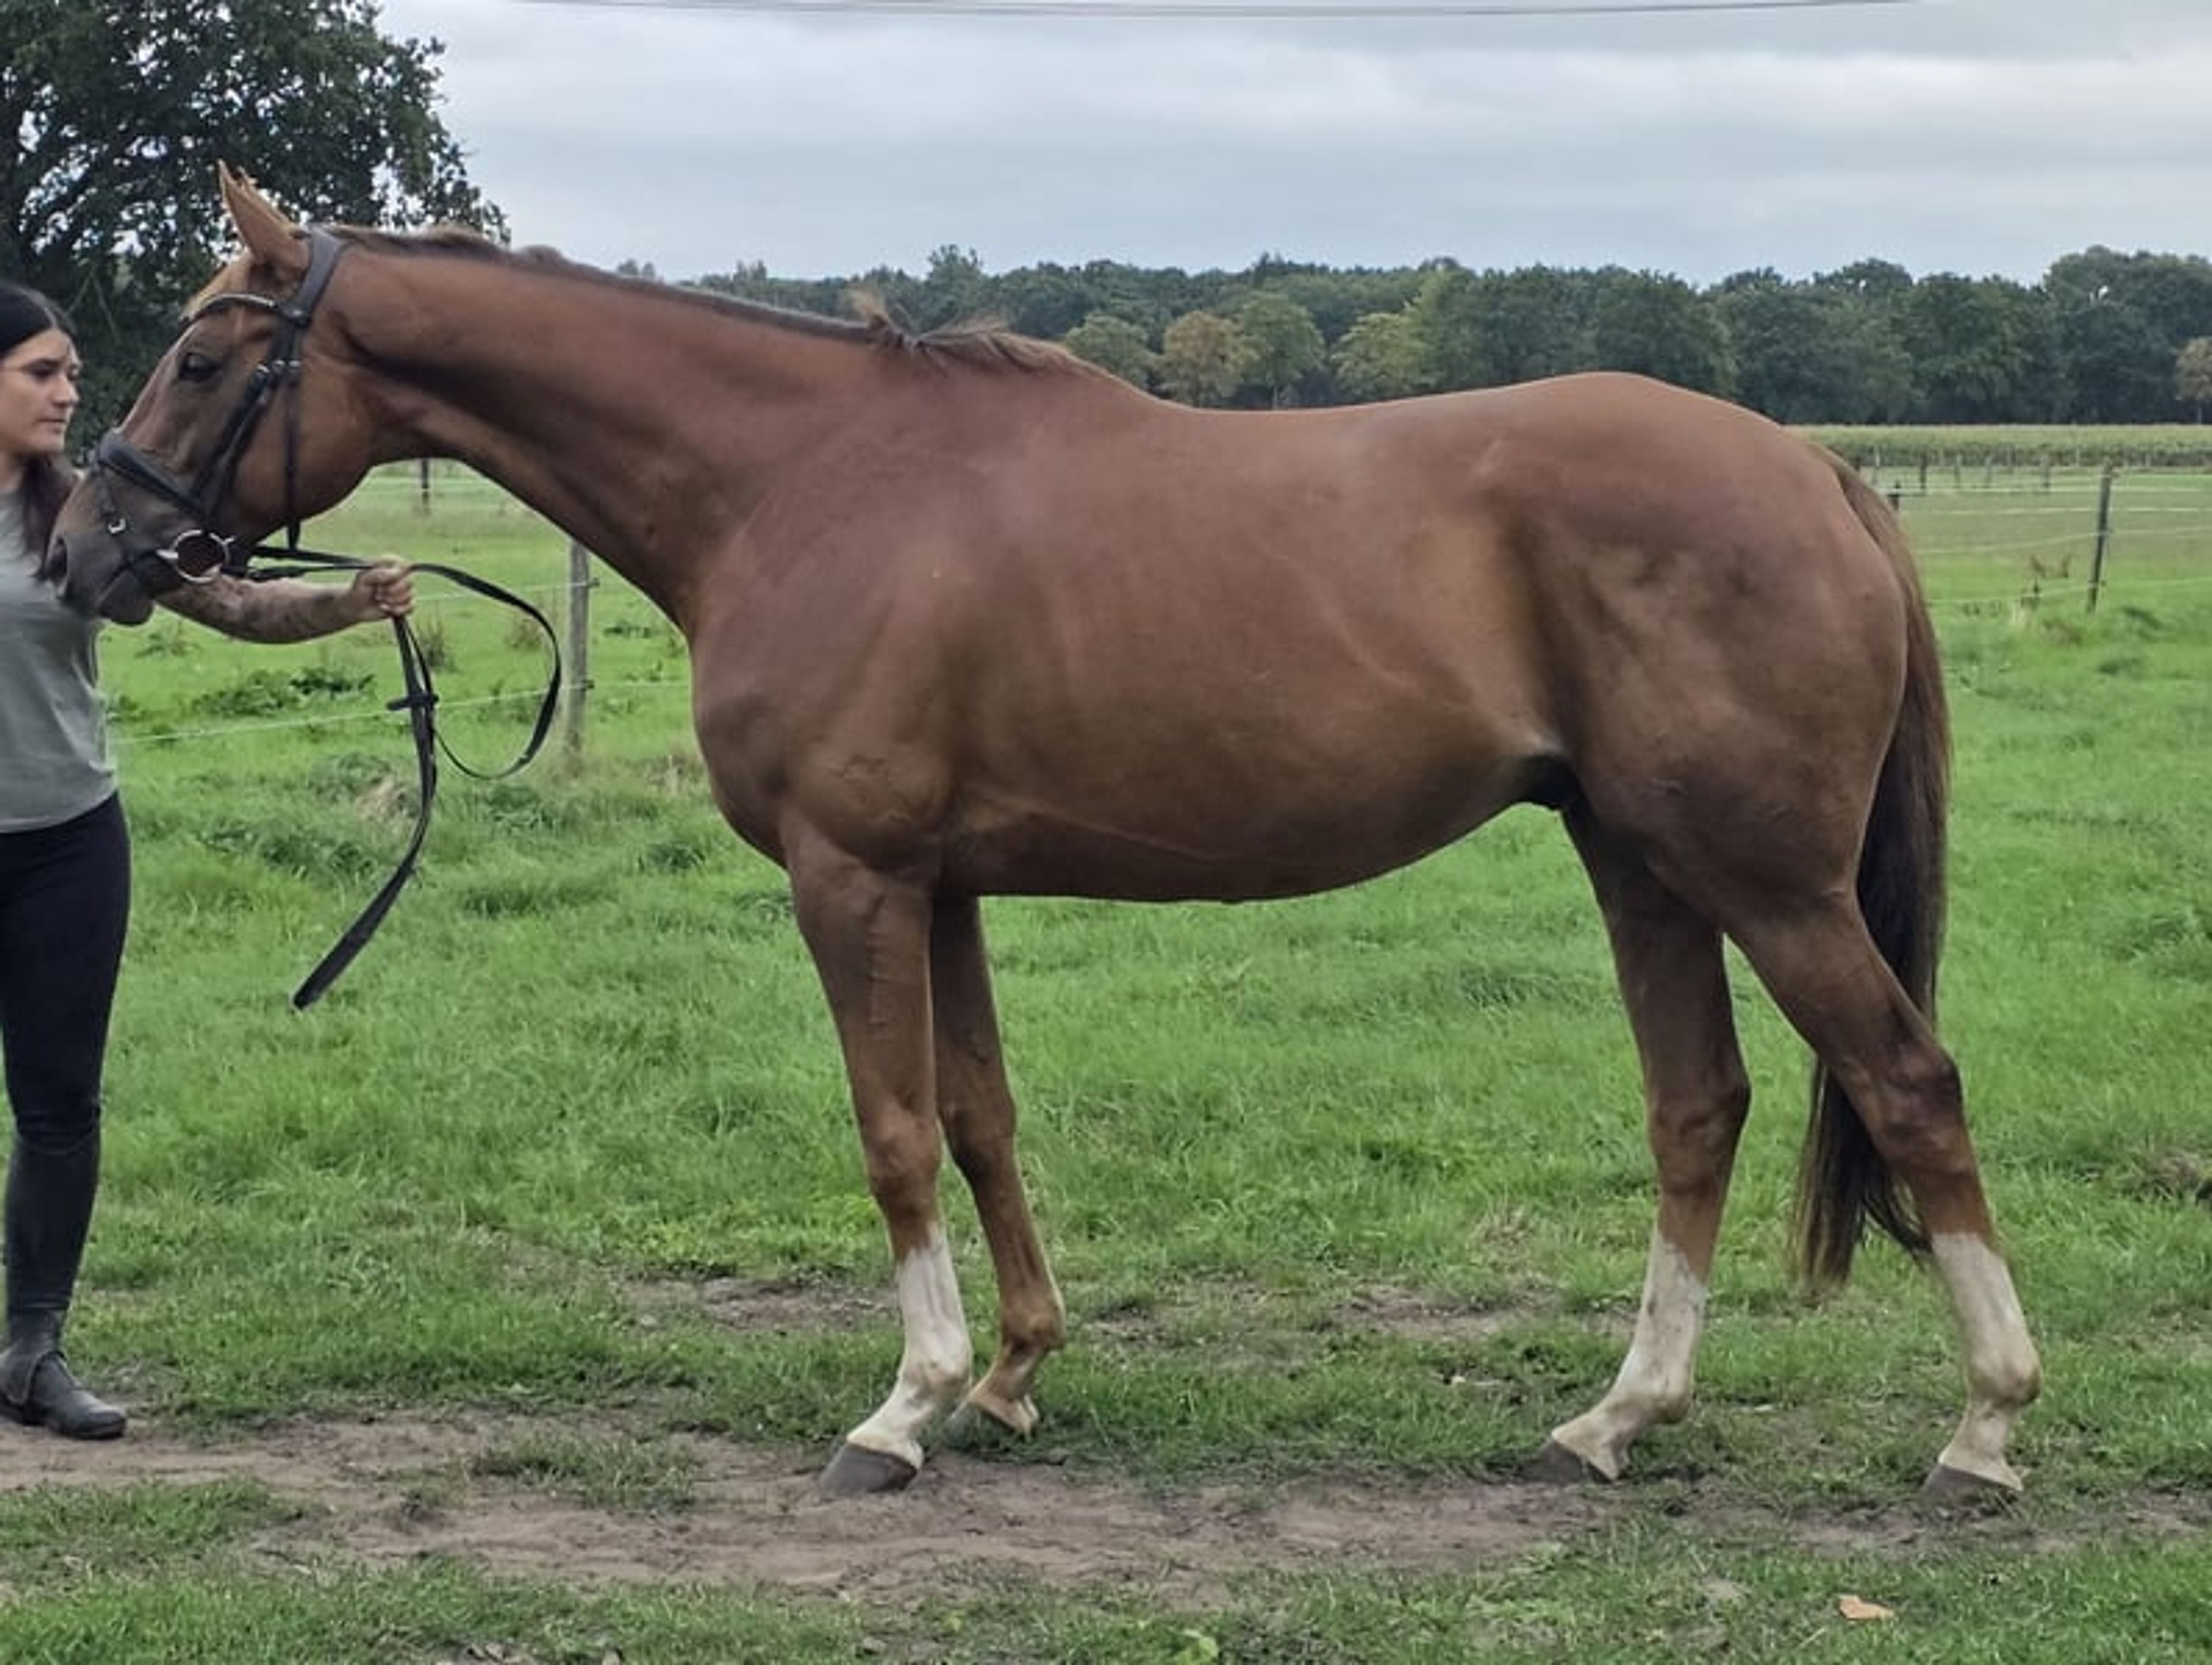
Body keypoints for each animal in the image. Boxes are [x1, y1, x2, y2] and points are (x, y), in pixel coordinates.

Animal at [49, 166, 2039, 1500]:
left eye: (207, 357)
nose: (82, 551)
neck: (802, 484)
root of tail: (1817, 471)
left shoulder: (851, 880)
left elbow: (892, 1135)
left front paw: (905, 1406)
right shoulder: (941, 887)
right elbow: (981, 1116)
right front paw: (1008, 1377)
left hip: (1765, 879)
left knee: (1908, 1083)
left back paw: (1982, 1427)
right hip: (1642, 863)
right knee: (1697, 1105)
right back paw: (1618, 1416)